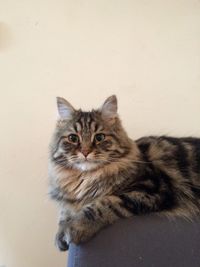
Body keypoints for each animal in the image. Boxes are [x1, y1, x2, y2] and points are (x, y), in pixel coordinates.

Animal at [48, 96, 200, 251]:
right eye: (73, 138)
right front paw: (60, 234)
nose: (85, 152)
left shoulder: (151, 189)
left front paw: (75, 227)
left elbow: (103, 204)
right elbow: (64, 212)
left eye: (99, 137)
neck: (87, 177)